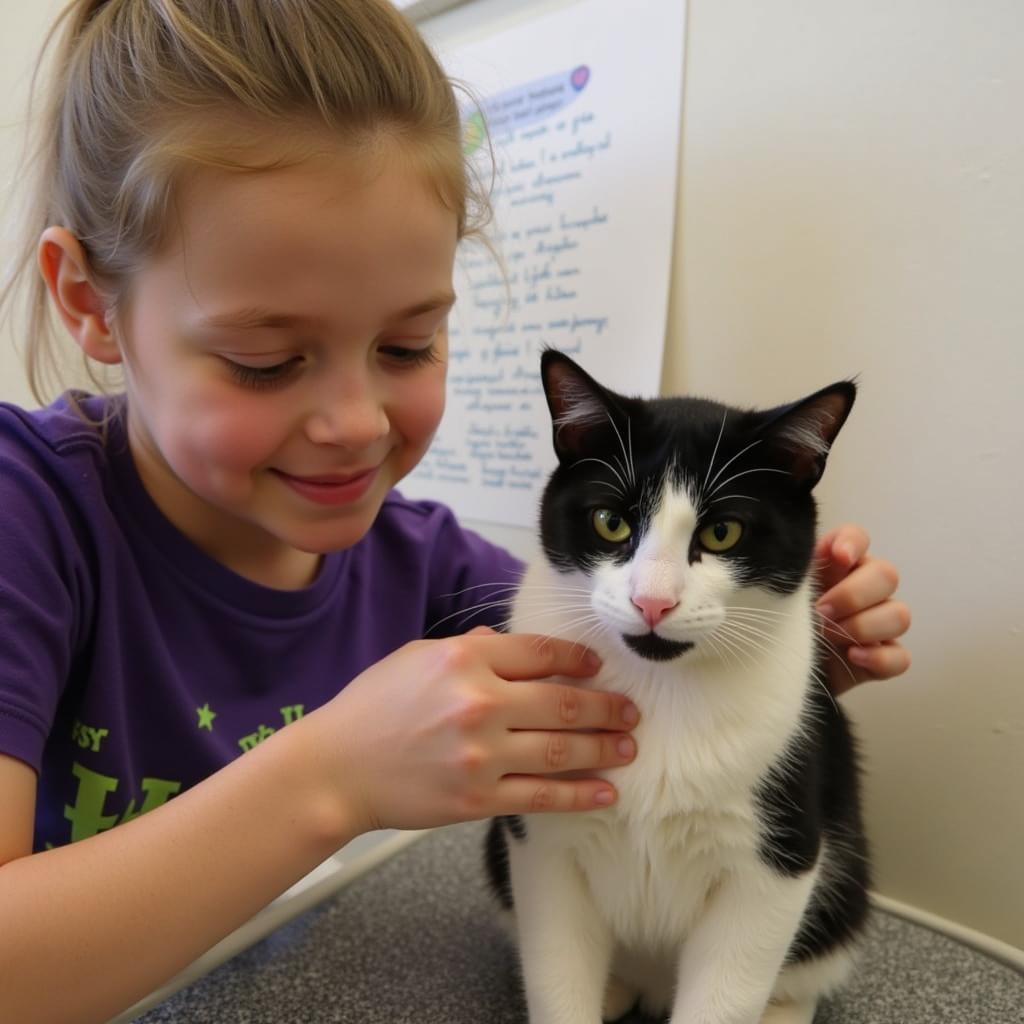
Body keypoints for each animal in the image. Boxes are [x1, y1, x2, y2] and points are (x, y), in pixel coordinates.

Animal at [483, 352, 868, 1024]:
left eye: (723, 533)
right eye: (611, 521)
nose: (653, 602)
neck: (657, 689)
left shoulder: (775, 863)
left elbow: (729, 991)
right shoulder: (543, 841)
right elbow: (557, 970)